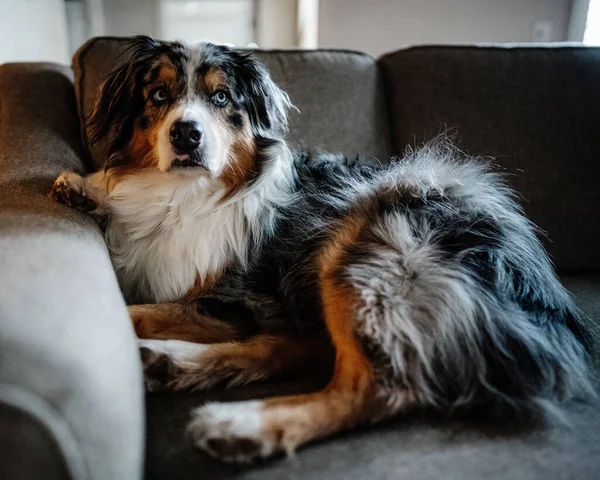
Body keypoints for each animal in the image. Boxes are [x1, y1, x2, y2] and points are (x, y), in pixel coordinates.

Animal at [51, 35, 596, 464]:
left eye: (222, 97)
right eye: (159, 94)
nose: (187, 134)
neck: (185, 195)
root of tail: (547, 309)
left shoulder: (236, 301)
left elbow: (142, 310)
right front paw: (83, 188)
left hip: (366, 240)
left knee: (374, 385)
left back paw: (242, 426)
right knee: (299, 347)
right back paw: (169, 364)